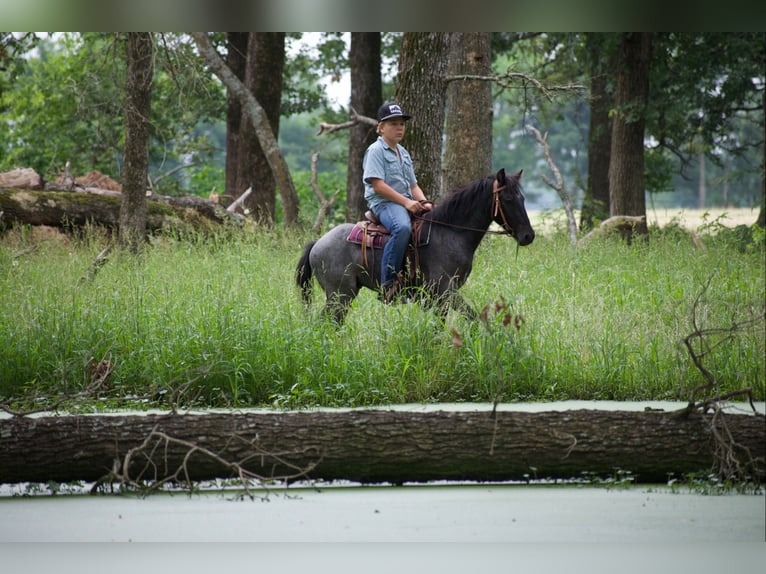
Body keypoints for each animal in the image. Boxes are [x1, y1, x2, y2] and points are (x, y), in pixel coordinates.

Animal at [295, 168, 535, 324]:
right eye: (508, 199)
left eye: (522, 198)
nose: (528, 236)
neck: (450, 233)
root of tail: (318, 243)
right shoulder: (445, 291)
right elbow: (473, 317)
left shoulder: (440, 298)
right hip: (340, 295)